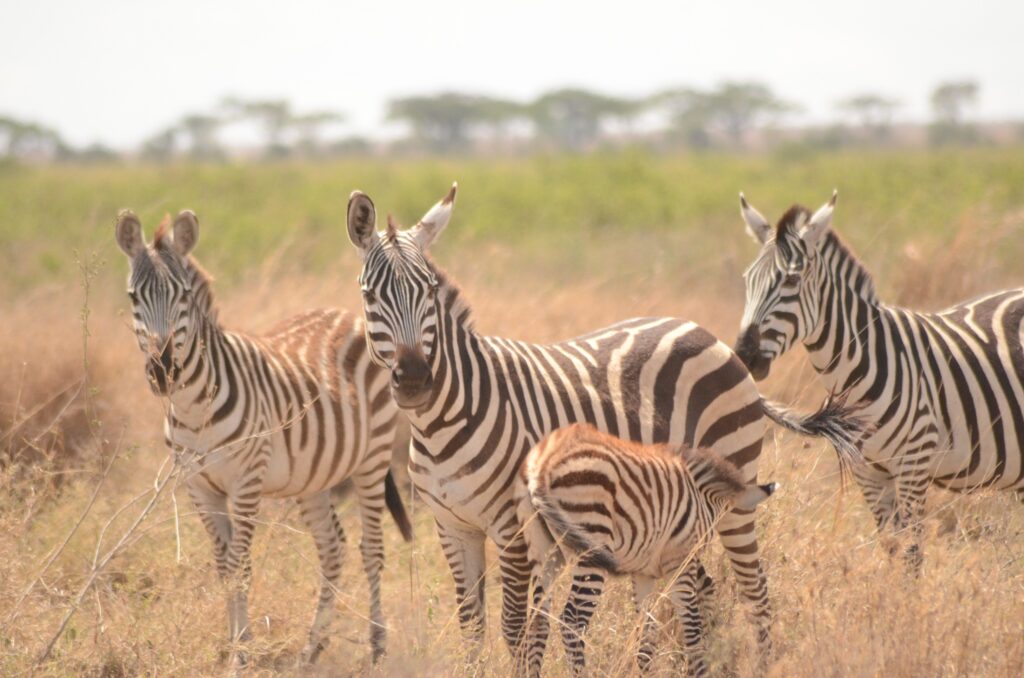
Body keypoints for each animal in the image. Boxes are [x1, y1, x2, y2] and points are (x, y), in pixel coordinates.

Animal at [113, 209, 411, 667]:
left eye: (183, 296)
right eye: (133, 298)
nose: (163, 371)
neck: (194, 407)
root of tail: (348, 315)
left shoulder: (246, 483)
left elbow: (241, 567)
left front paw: (242, 654)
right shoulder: (198, 487)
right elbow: (223, 567)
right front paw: (233, 645)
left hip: (373, 458)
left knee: (371, 547)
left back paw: (377, 647)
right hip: (314, 475)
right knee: (332, 546)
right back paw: (312, 648)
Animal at [516, 426, 778, 678]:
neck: (703, 498)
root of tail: (543, 466)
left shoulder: (644, 574)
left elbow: (646, 634)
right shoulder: (680, 560)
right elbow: (691, 625)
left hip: (544, 551)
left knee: (538, 620)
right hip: (591, 539)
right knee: (572, 620)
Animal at [733, 191, 1024, 569]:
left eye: (791, 281)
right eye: (747, 281)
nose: (743, 354)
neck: (856, 371)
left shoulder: (914, 464)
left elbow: (912, 552)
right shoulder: (868, 472)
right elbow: (890, 546)